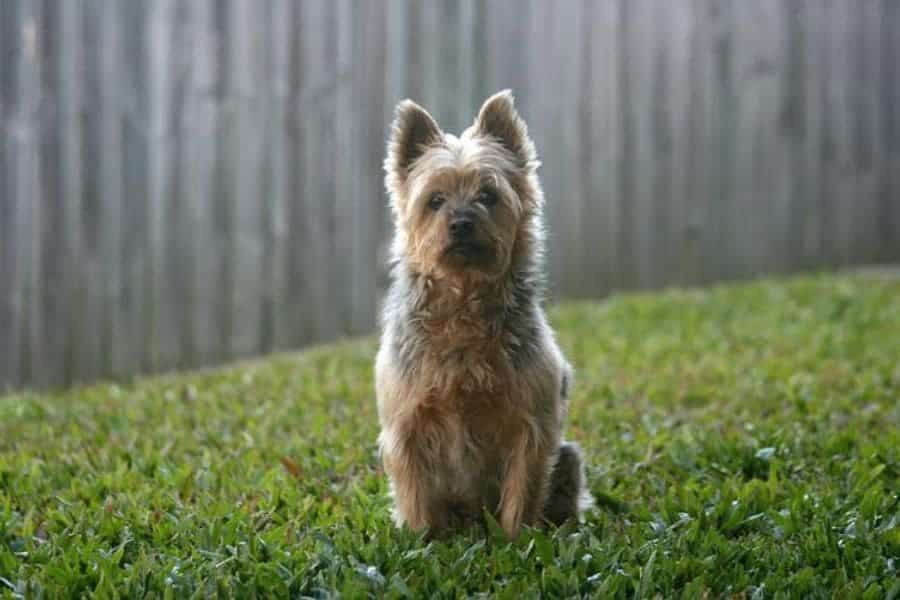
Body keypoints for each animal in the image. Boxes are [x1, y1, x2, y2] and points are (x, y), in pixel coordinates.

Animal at [372, 90, 592, 540]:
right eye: (435, 201)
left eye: (488, 196)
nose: (460, 222)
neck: (464, 300)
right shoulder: (407, 425)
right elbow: (415, 491)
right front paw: (421, 540)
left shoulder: (531, 425)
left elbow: (523, 485)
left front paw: (516, 539)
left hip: (569, 457)